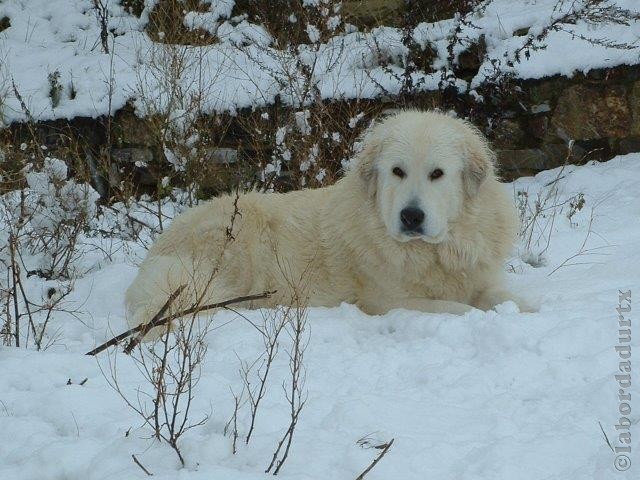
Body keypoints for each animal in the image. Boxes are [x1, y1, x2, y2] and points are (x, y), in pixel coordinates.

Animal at [126, 109, 524, 334]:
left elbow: (508, 299)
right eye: (398, 171)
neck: (436, 253)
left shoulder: (480, 277)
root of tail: (156, 251)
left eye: (437, 174)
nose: (411, 216)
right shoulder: (388, 301)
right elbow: (459, 308)